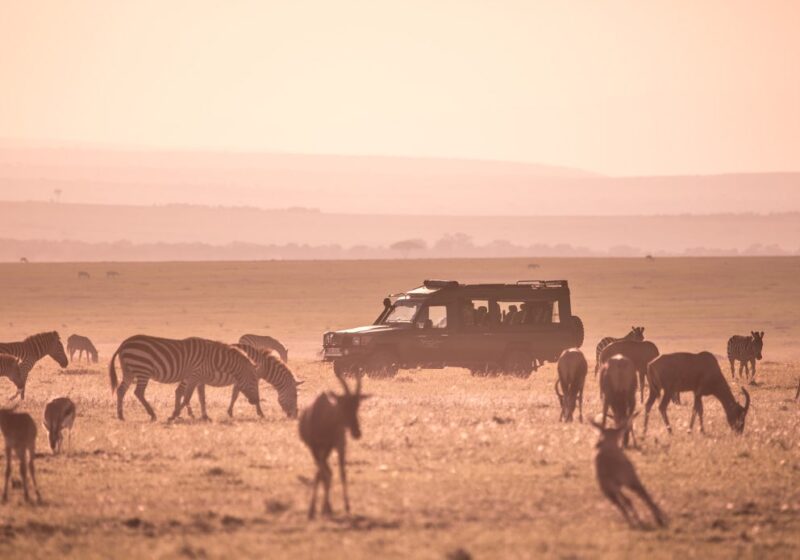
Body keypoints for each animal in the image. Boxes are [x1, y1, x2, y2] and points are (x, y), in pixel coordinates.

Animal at [108, 334, 260, 422]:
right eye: (253, 381)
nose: (256, 401)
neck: (213, 359)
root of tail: (124, 343)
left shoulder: (200, 379)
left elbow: (201, 398)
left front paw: (205, 416)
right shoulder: (194, 376)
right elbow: (187, 397)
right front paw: (174, 415)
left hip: (129, 371)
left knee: (121, 390)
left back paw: (121, 416)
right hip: (142, 369)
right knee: (138, 392)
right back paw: (152, 414)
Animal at [300, 372, 372, 520]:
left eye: (357, 405)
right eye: (342, 404)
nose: (356, 432)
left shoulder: (329, 446)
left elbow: (326, 474)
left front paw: (326, 508)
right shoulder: (314, 448)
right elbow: (323, 474)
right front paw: (313, 511)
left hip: (336, 446)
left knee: (338, 471)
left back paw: (342, 506)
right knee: (325, 472)